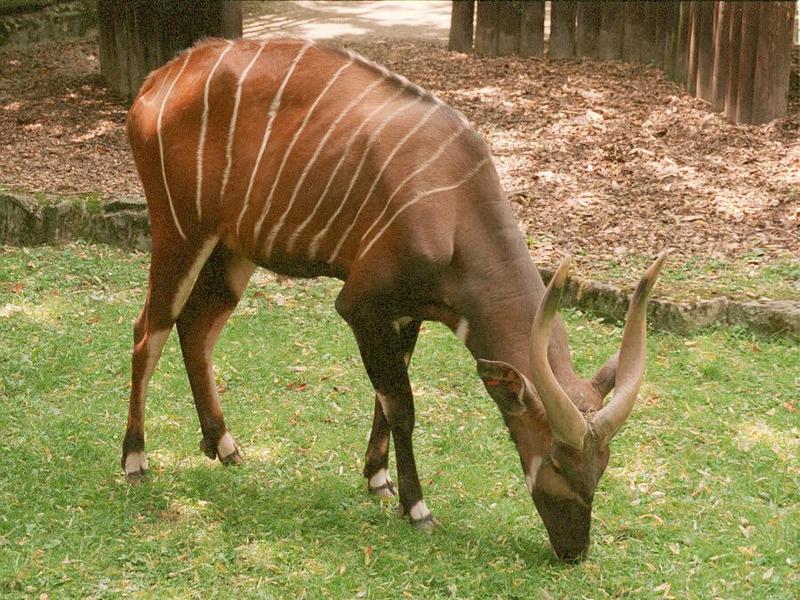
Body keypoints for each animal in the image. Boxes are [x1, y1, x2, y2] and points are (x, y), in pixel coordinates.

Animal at [123, 38, 664, 564]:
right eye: (555, 458)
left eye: (603, 464)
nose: (574, 550)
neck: (455, 210)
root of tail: (156, 82)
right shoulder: (359, 305)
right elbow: (401, 405)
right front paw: (417, 508)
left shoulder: (407, 314)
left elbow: (386, 397)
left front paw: (378, 480)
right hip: (178, 233)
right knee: (149, 331)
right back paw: (135, 460)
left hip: (233, 250)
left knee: (197, 328)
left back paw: (224, 445)